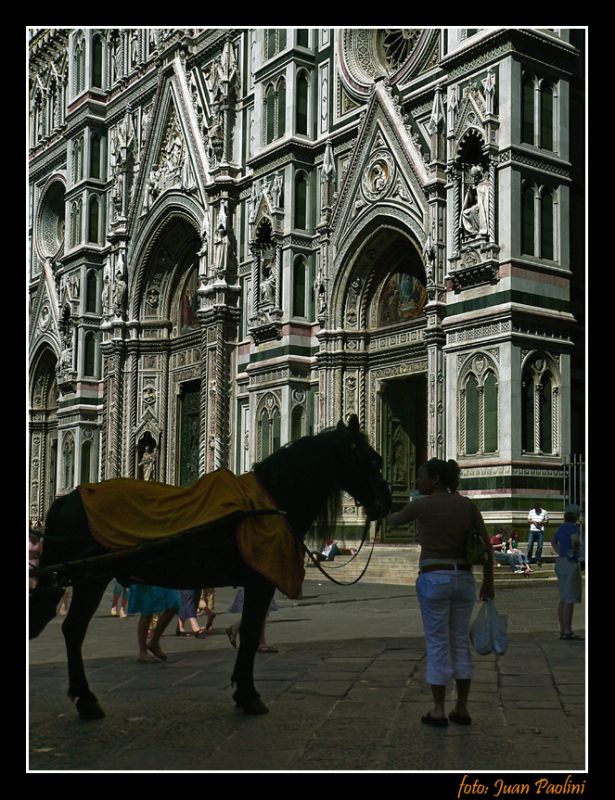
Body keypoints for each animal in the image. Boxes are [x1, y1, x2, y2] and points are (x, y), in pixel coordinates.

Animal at [28, 416, 390, 720]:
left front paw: (242, 691)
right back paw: (87, 700)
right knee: (73, 629)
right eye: (373, 460)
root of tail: (68, 497)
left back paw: (85, 698)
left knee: (70, 628)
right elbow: (250, 634)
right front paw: (249, 695)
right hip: (91, 578)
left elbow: (249, 632)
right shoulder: (260, 581)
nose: (386, 503)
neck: (272, 499)